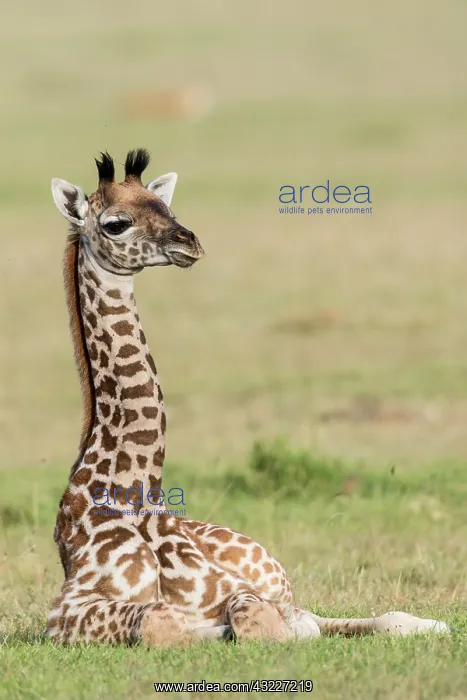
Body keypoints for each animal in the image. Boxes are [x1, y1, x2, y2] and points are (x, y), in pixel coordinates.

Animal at [47, 149, 450, 645]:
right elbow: (162, 620)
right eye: (116, 223)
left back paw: (431, 623)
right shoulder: (63, 612)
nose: (190, 242)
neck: (131, 492)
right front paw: (205, 630)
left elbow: (254, 620)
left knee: (333, 616)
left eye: (166, 208)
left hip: (274, 574)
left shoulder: (237, 589)